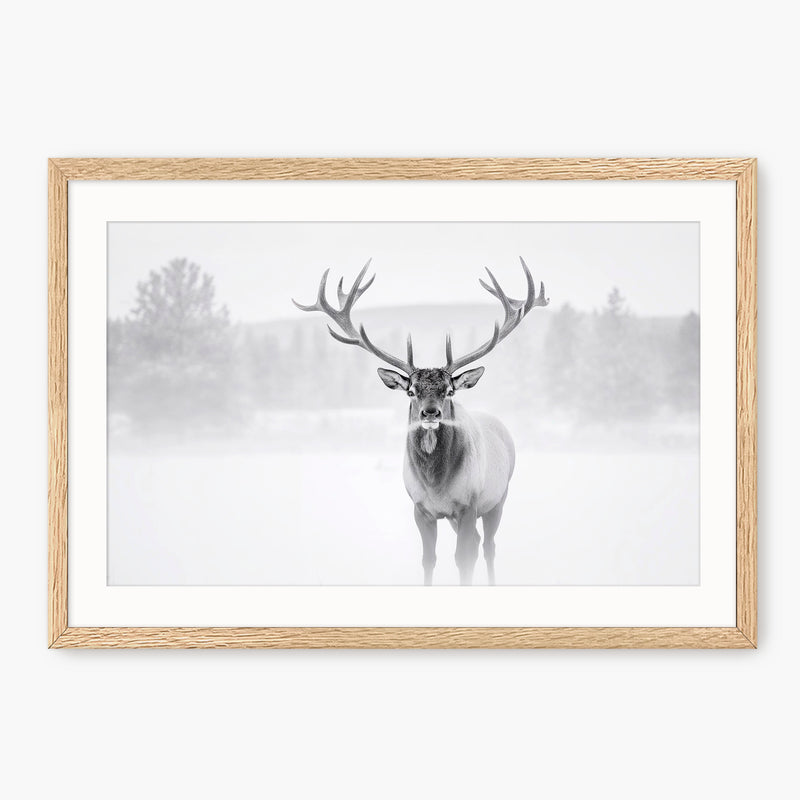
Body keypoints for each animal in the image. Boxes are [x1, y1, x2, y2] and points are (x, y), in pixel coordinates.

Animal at [293, 257, 548, 585]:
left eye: (449, 390)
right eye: (411, 391)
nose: (430, 413)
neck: (436, 485)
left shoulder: (469, 504)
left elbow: (463, 559)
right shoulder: (420, 508)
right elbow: (429, 560)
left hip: (498, 497)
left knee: (488, 546)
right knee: (480, 542)